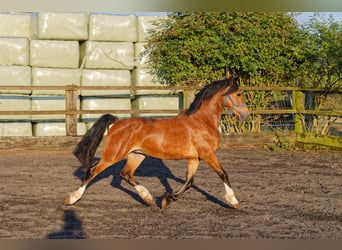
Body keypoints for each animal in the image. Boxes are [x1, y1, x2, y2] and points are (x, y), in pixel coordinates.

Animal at [65, 77, 250, 209]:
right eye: (238, 94)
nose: (246, 114)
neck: (202, 122)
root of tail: (116, 123)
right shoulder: (207, 154)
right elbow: (223, 174)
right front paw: (234, 202)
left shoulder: (194, 158)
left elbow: (189, 182)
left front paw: (167, 200)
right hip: (113, 155)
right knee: (93, 171)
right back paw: (72, 198)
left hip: (137, 155)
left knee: (126, 174)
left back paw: (148, 199)